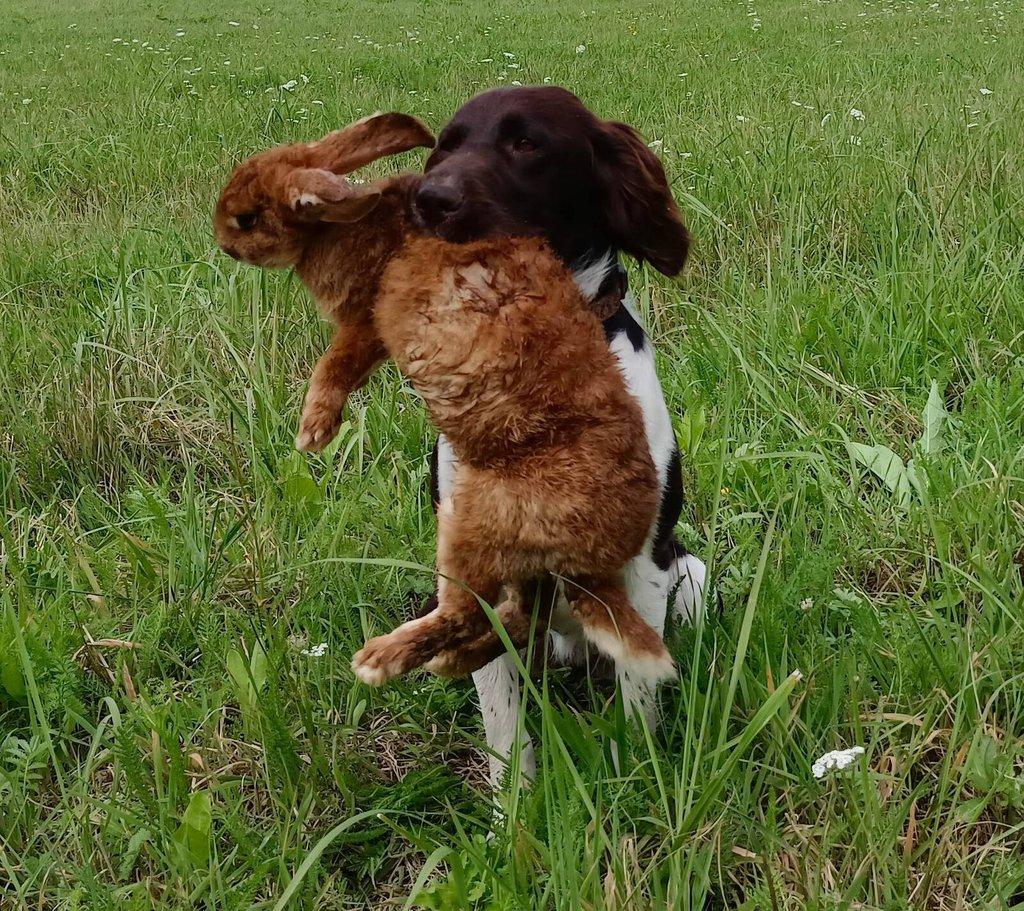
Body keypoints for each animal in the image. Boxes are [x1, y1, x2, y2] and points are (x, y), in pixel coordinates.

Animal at [214, 112, 434, 450]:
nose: (224, 245)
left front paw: (313, 432)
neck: (326, 230)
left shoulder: (366, 322)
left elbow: (334, 366)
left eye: (246, 219)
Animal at [411, 87, 708, 790]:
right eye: (445, 146)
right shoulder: (477, 583)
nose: (428, 199)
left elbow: (638, 704)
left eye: (527, 143)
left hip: (689, 573)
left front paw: (635, 789)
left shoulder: (642, 569)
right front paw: (514, 815)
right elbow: (506, 736)